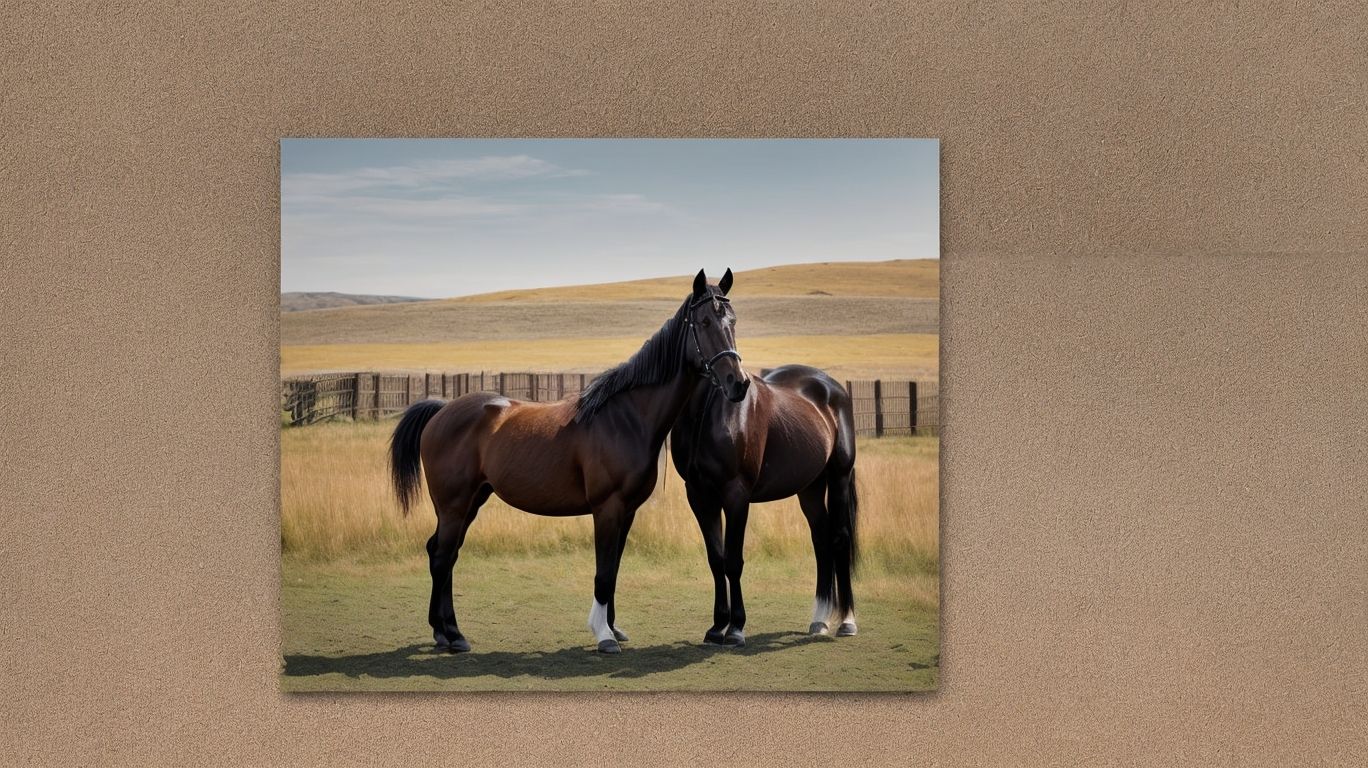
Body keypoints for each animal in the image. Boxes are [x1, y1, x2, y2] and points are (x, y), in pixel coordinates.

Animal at [389, 269, 750, 653]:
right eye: (705, 321)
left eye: (732, 320)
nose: (738, 383)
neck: (627, 417)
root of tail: (441, 411)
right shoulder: (607, 508)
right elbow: (603, 572)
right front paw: (604, 635)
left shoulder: (627, 511)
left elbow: (614, 568)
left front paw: (612, 627)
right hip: (454, 507)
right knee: (443, 557)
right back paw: (454, 635)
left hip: (470, 503)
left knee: (443, 554)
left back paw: (442, 632)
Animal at [670, 364, 859, 647]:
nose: (736, 384)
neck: (708, 410)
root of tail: (832, 387)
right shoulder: (699, 496)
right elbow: (716, 560)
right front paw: (717, 626)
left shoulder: (736, 496)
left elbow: (732, 561)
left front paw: (736, 628)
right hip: (810, 489)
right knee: (821, 542)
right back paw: (820, 620)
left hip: (839, 477)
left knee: (839, 538)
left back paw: (847, 621)